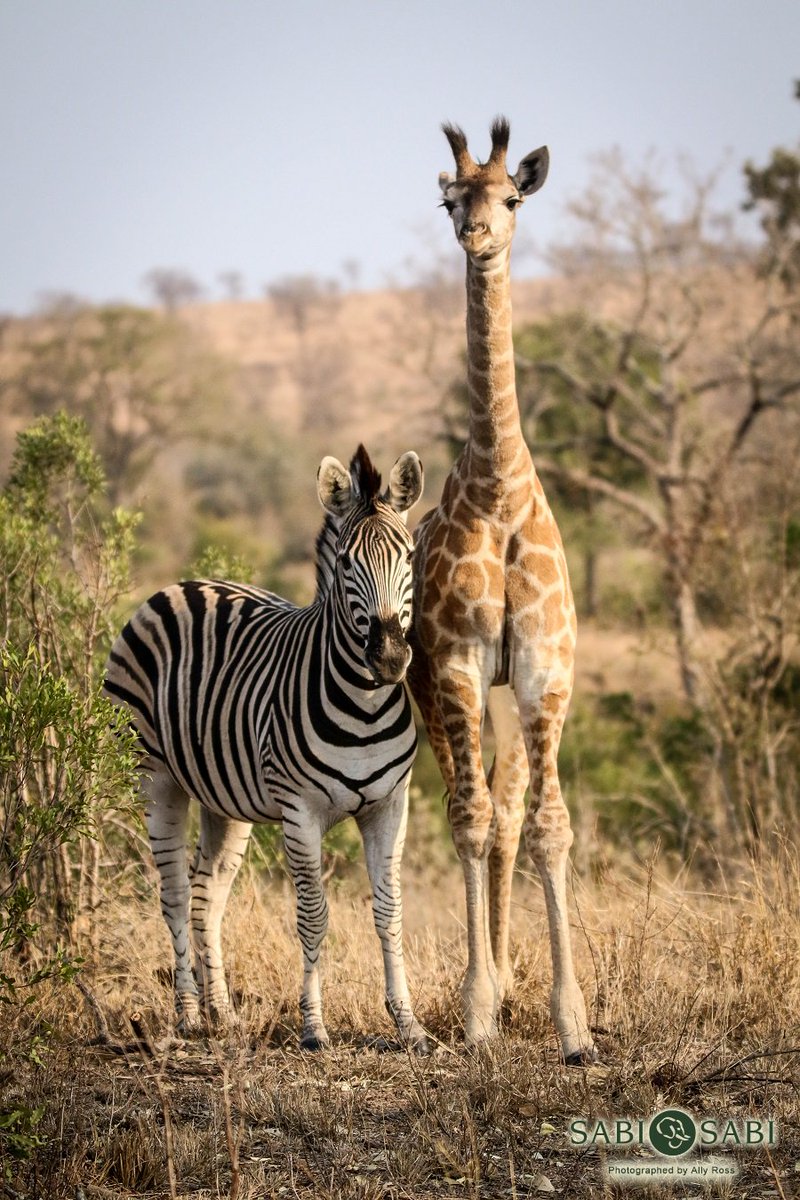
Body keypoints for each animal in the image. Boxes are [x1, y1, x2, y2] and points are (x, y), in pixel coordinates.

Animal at [104, 445, 428, 1052]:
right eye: (345, 563)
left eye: (411, 556)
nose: (390, 659)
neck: (365, 704)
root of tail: (182, 584)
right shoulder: (300, 812)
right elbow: (313, 916)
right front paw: (314, 1027)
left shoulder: (389, 806)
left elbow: (391, 912)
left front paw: (409, 1024)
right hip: (153, 773)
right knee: (175, 893)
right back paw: (188, 1015)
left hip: (223, 798)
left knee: (207, 897)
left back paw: (222, 1014)